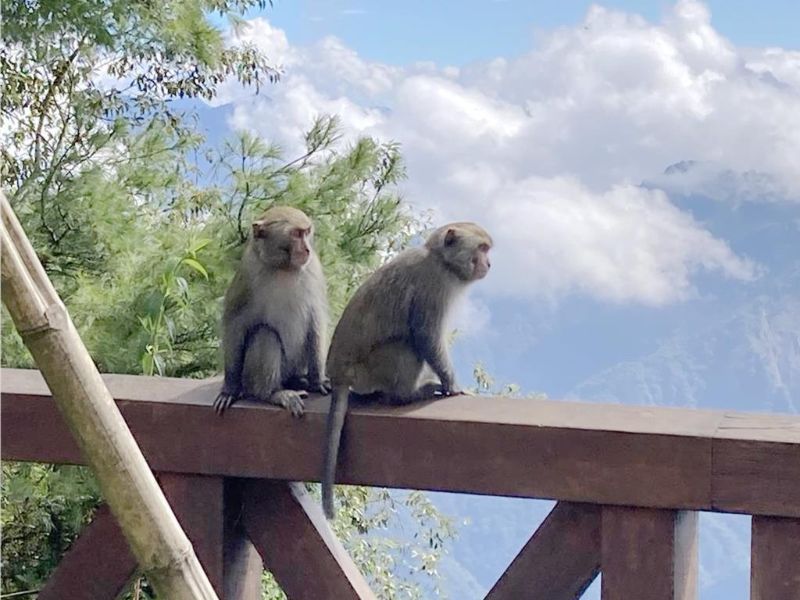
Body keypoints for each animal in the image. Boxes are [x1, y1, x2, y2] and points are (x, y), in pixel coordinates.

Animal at [212, 206, 332, 418]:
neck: (283, 267)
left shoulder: (314, 269)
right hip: (251, 377)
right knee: (265, 334)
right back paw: (273, 393)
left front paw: (318, 381)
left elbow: (317, 320)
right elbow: (234, 324)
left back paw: (299, 381)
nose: (307, 249)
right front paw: (230, 389)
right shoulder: (248, 273)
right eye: (296, 234)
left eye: (307, 232)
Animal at [322, 223, 490, 516]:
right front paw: (452, 385)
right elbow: (426, 335)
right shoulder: (434, 284)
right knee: (406, 345)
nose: (489, 263)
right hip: (369, 370)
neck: (440, 259)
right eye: (481, 248)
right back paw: (407, 395)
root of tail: (338, 374)